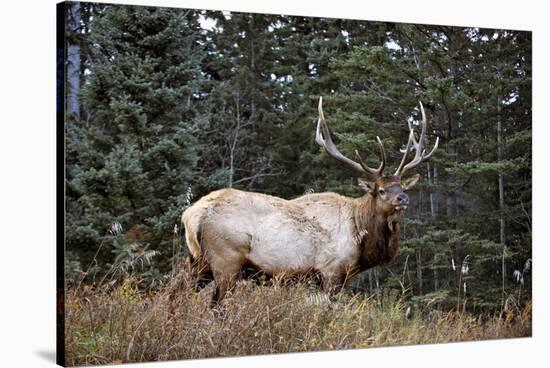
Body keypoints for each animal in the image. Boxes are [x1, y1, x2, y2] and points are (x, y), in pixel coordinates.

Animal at [181, 97, 440, 304]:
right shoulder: (331, 271)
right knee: (216, 305)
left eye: (401, 186)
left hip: (199, 262)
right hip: (226, 260)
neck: (360, 236)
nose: (403, 197)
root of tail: (192, 214)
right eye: (382, 190)